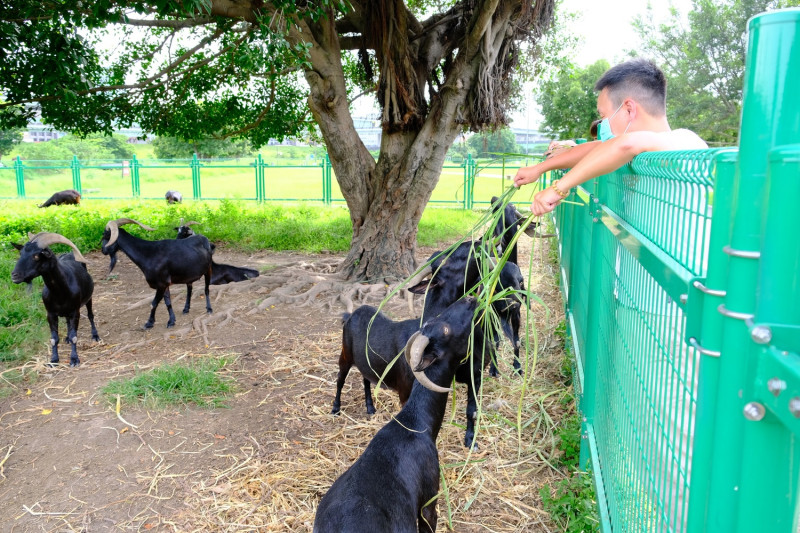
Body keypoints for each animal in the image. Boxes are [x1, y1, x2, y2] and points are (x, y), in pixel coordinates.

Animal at [10, 233, 100, 366]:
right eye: (21, 253)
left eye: (36, 256)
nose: (14, 275)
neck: (60, 293)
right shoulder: (50, 314)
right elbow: (54, 339)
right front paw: (53, 360)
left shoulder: (75, 312)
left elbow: (74, 336)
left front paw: (74, 359)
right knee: (68, 322)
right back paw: (66, 338)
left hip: (88, 299)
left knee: (90, 315)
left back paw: (95, 335)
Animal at [314, 298, 482, 528]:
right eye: (446, 329)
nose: (470, 299)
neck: (415, 423)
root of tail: (351, 314)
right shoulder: (429, 502)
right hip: (345, 354)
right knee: (340, 379)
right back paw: (335, 408)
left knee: (366, 379)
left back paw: (370, 407)